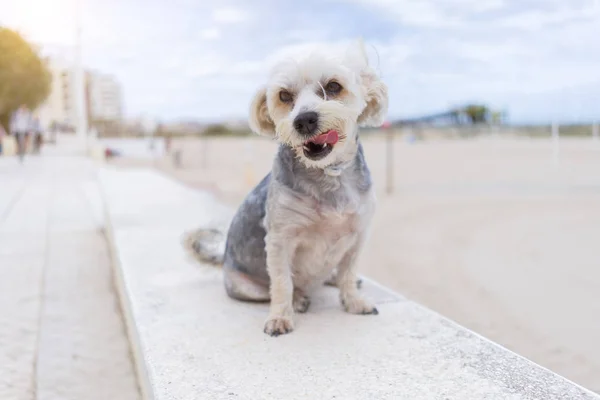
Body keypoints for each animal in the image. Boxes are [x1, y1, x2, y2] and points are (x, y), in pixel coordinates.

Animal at [184, 39, 390, 336]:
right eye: (284, 95)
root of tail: (222, 259)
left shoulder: (358, 235)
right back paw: (300, 299)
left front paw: (353, 301)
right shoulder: (280, 240)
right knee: (276, 289)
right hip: (244, 286)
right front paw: (281, 316)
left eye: (333, 86)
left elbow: (348, 274)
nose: (304, 120)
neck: (328, 174)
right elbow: (282, 283)